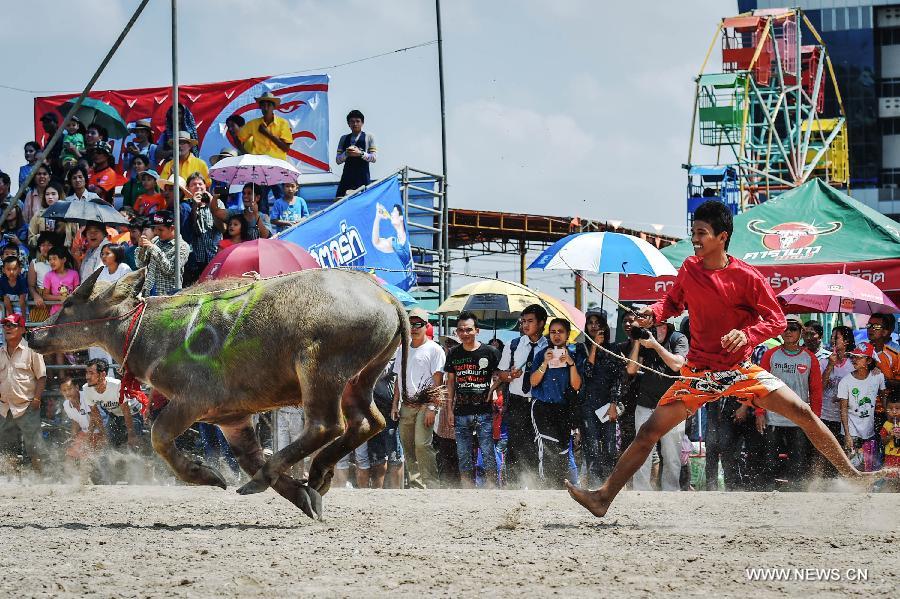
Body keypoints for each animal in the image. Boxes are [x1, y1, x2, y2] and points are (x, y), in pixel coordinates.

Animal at [26, 268, 408, 520]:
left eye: (70, 302)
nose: (32, 334)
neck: (157, 330)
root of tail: (385, 296)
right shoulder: (231, 419)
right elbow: (249, 456)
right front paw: (300, 495)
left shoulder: (192, 403)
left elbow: (159, 436)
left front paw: (205, 474)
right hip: (359, 380)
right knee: (369, 422)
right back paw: (315, 475)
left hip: (317, 369)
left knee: (327, 426)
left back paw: (288, 476)